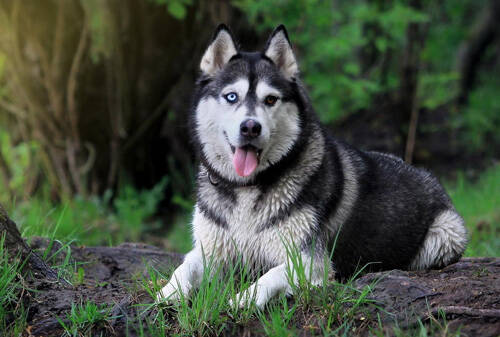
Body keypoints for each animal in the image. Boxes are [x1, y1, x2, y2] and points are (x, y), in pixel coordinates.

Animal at [157, 23, 468, 308]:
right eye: (231, 96)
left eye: (270, 99)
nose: (250, 127)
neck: (247, 187)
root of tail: (427, 175)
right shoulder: (210, 251)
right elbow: (184, 267)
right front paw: (168, 292)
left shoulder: (309, 261)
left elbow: (270, 276)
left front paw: (243, 299)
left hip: (446, 234)